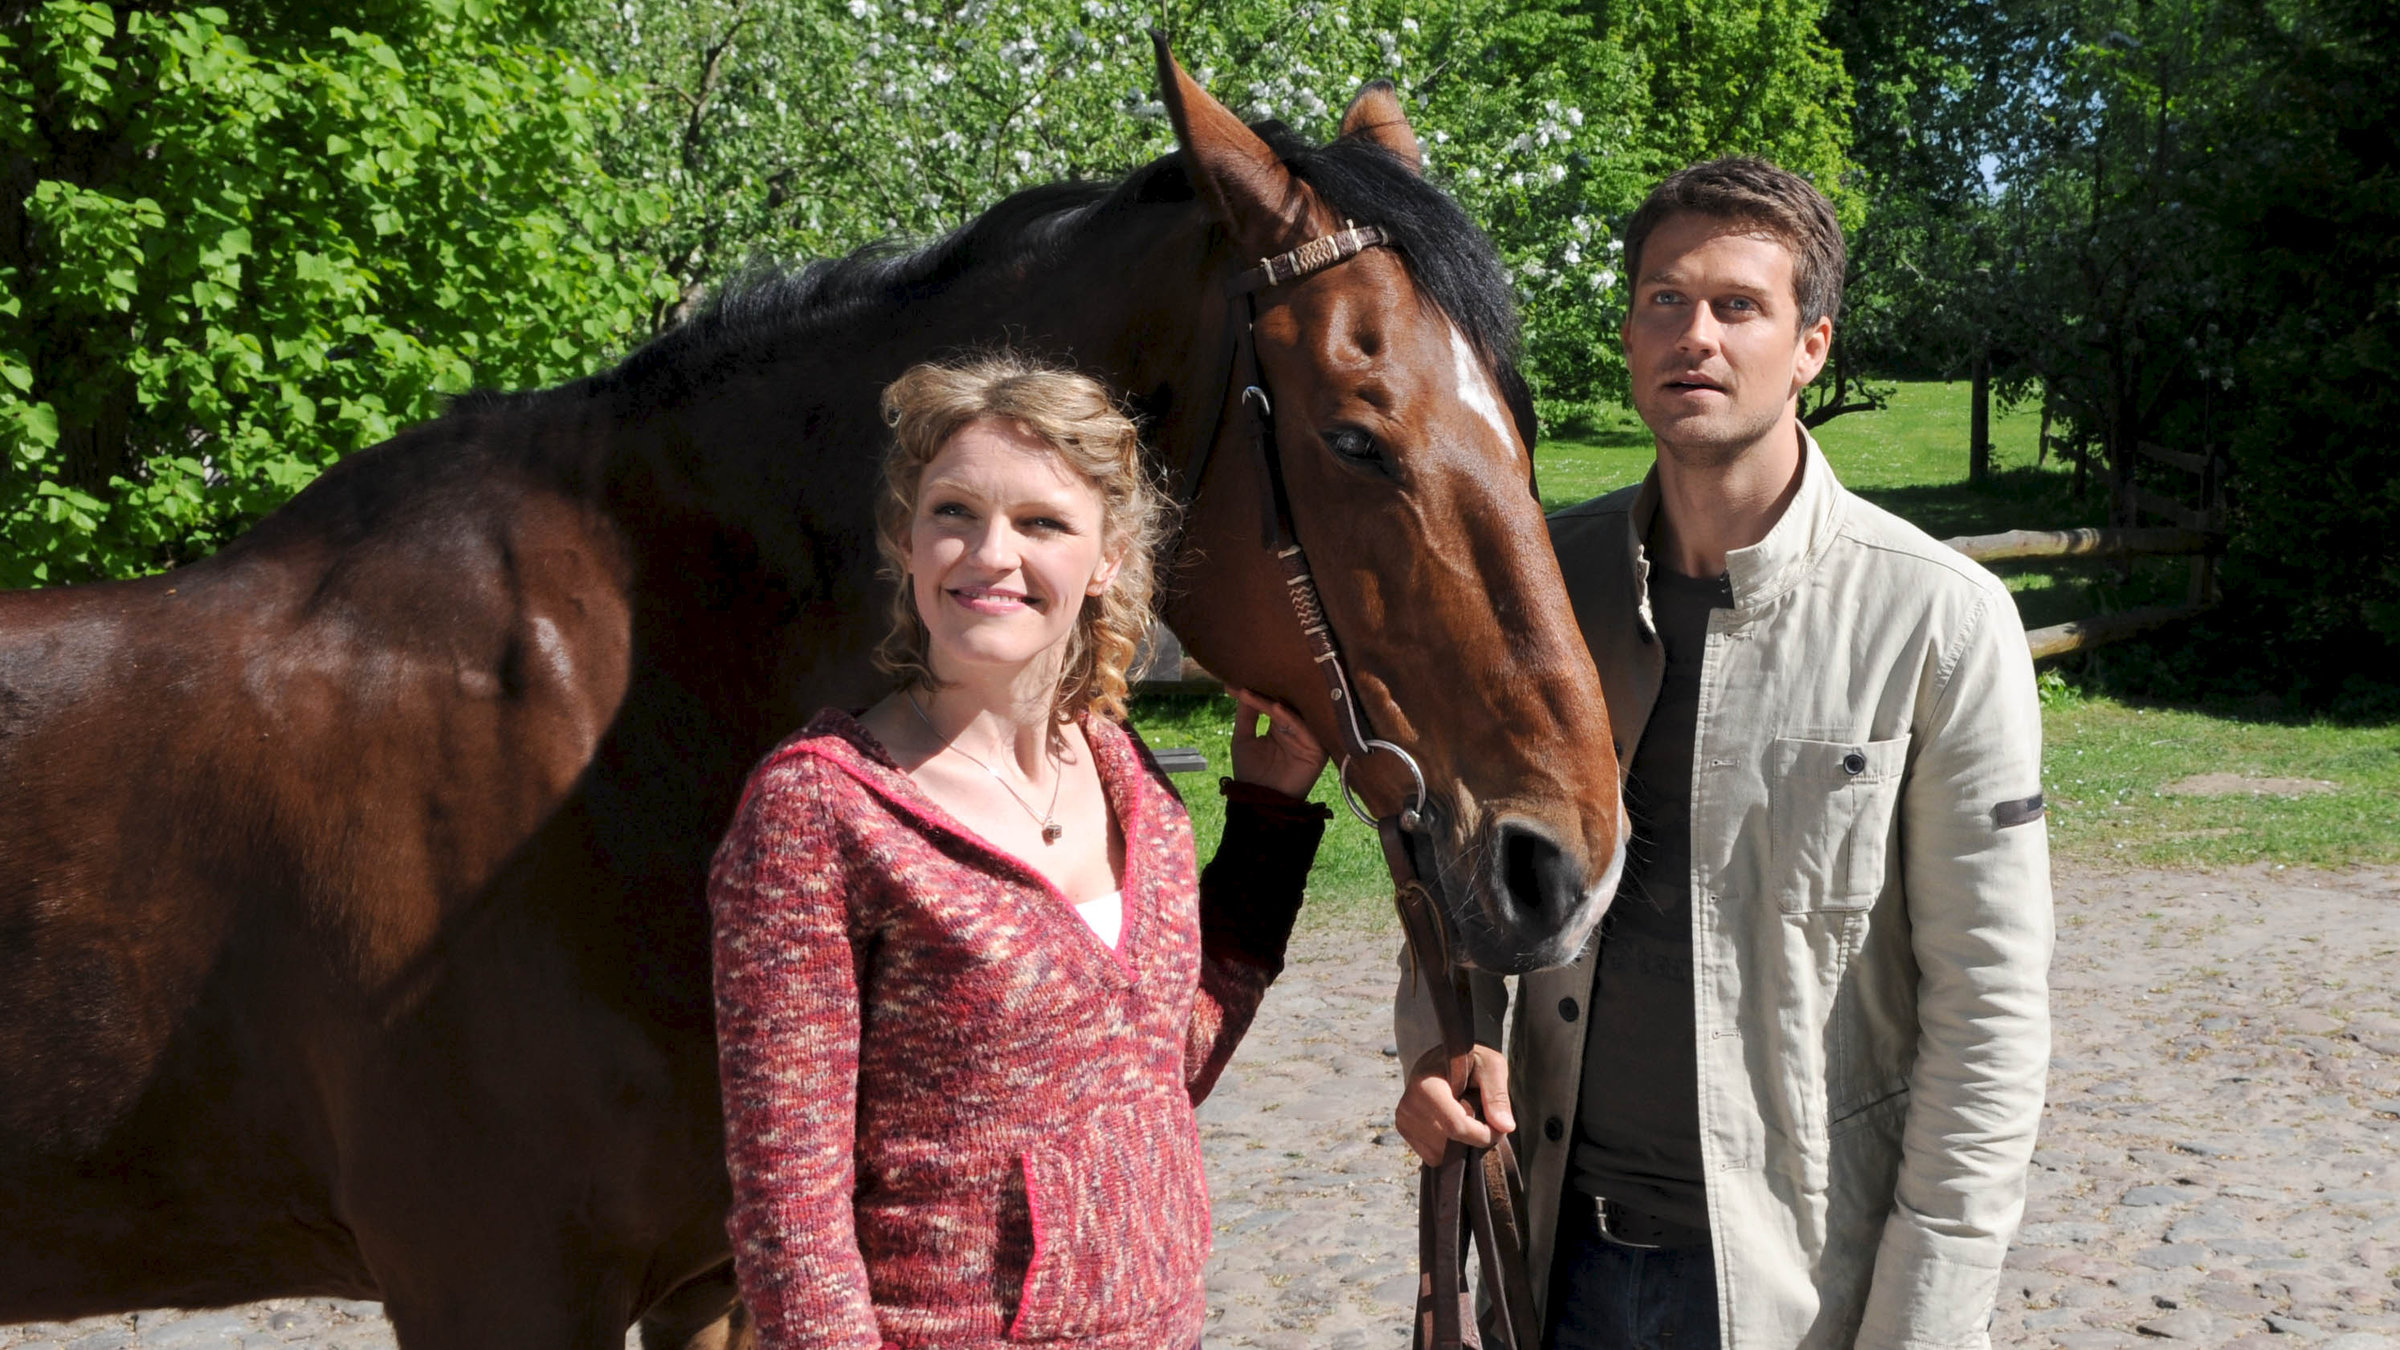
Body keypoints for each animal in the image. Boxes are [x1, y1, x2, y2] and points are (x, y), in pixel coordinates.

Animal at [0, 45, 1621, 1348]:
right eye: (1355, 436)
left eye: (1524, 416)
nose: (1567, 866)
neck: (612, 740)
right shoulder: (495, 1288)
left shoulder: (708, 1282)